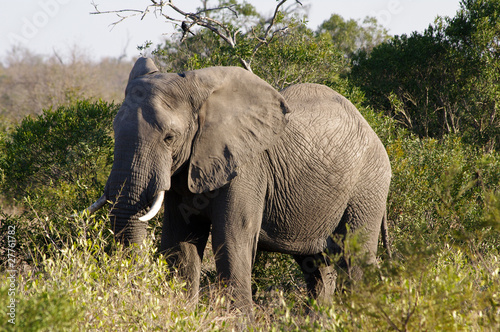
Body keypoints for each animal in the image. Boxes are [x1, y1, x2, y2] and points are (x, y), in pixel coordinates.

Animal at [85, 57, 390, 314]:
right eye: (114, 131)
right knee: (316, 267)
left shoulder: (247, 169)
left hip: (368, 185)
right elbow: (180, 242)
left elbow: (231, 239)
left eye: (169, 137)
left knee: (355, 258)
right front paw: (181, 315)